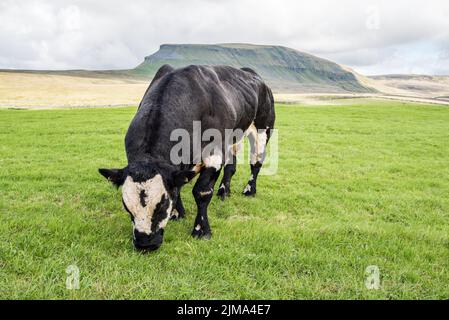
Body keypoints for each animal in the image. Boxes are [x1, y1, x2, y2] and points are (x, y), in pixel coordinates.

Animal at [98, 63, 272, 251]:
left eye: (162, 205)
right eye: (127, 206)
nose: (145, 243)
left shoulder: (214, 152)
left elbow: (201, 192)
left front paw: (201, 230)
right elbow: (179, 186)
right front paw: (177, 213)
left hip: (263, 129)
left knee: (256, 163)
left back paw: (249, 190)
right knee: (231, 166)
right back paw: (223, 192)